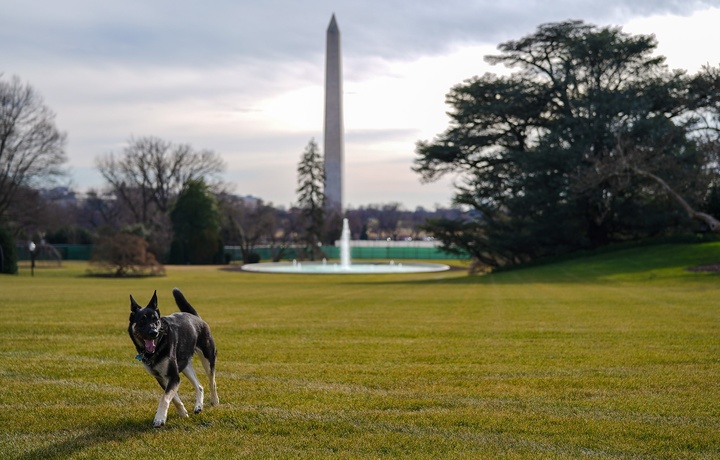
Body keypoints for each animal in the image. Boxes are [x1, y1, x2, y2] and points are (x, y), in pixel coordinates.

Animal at [129, 288, 219, 428]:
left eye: (156, 320)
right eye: (142, 320)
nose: (154, 332)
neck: (158, 346)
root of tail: (196, 317)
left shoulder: (173, 376)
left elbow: (164, 397)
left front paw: (159, 418)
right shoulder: (162, 377)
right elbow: (173, 397)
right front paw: (182, 413)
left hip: (207, 358)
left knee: (212, 381)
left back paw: (214, 401)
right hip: (185, 365)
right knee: (199, 386)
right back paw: (198, 406)